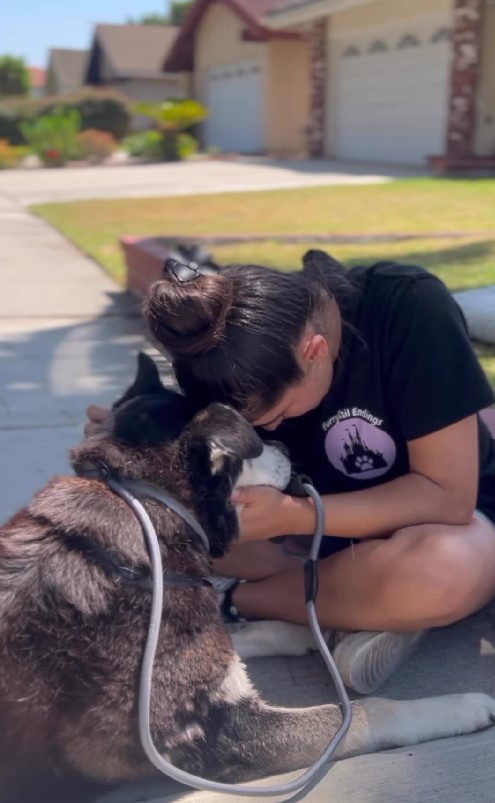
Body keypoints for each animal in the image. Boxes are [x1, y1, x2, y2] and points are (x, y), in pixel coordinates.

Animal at [0, 354, 495, 800]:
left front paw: (305, 631)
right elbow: (364, 713)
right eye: (253, 445)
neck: (145, 508)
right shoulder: (219, 735)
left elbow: (247, 637)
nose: (288, 449)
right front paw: (458, 706)